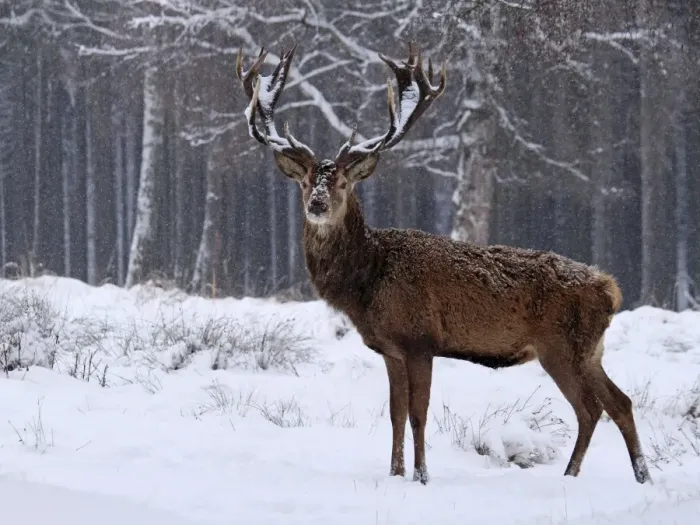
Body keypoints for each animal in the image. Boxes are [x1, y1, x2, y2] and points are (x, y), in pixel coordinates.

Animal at [235, 42, 651, 486]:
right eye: (305, 181)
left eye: (344, 183)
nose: (317, 204)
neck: (369, 282)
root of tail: (610, 289)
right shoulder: (390, 349)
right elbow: (396, 414)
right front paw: (395, 473)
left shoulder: (420, 340)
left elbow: (419, 414)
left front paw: (421, 476)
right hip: (590, 350)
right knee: (620, 402)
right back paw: (639, 476)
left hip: (562, 346)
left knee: (591, 408)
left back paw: (574, 476)